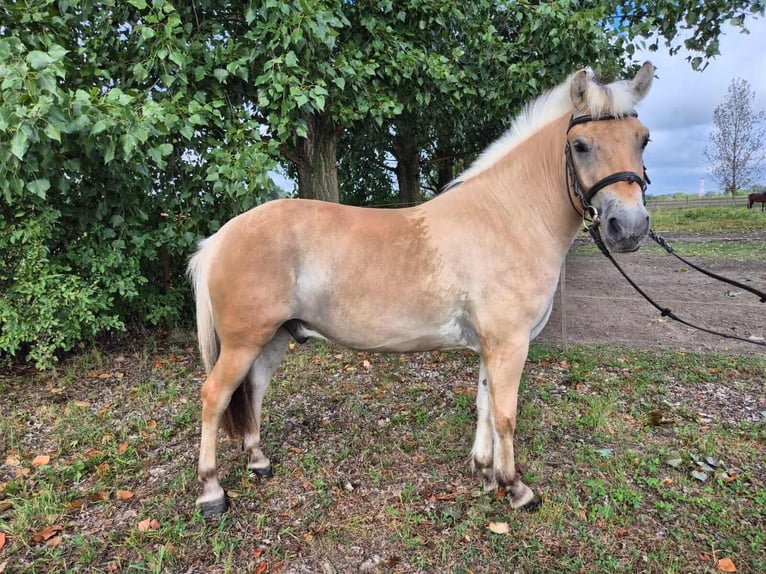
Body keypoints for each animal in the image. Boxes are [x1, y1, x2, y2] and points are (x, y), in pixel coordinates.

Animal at [188, 62, 656, 516]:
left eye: (643, 140)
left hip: (273, 340)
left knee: (253, 391)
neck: (505, 217)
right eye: (580, 145)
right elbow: (505, 415)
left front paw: (485, 473)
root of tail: (221, 237)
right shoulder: (509, 344)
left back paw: (258, 461)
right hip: (244, 343)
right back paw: (212, 492)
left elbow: (485, 406)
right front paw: (517, 488)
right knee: (214, 396)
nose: (629, 228)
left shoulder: (492, 345)